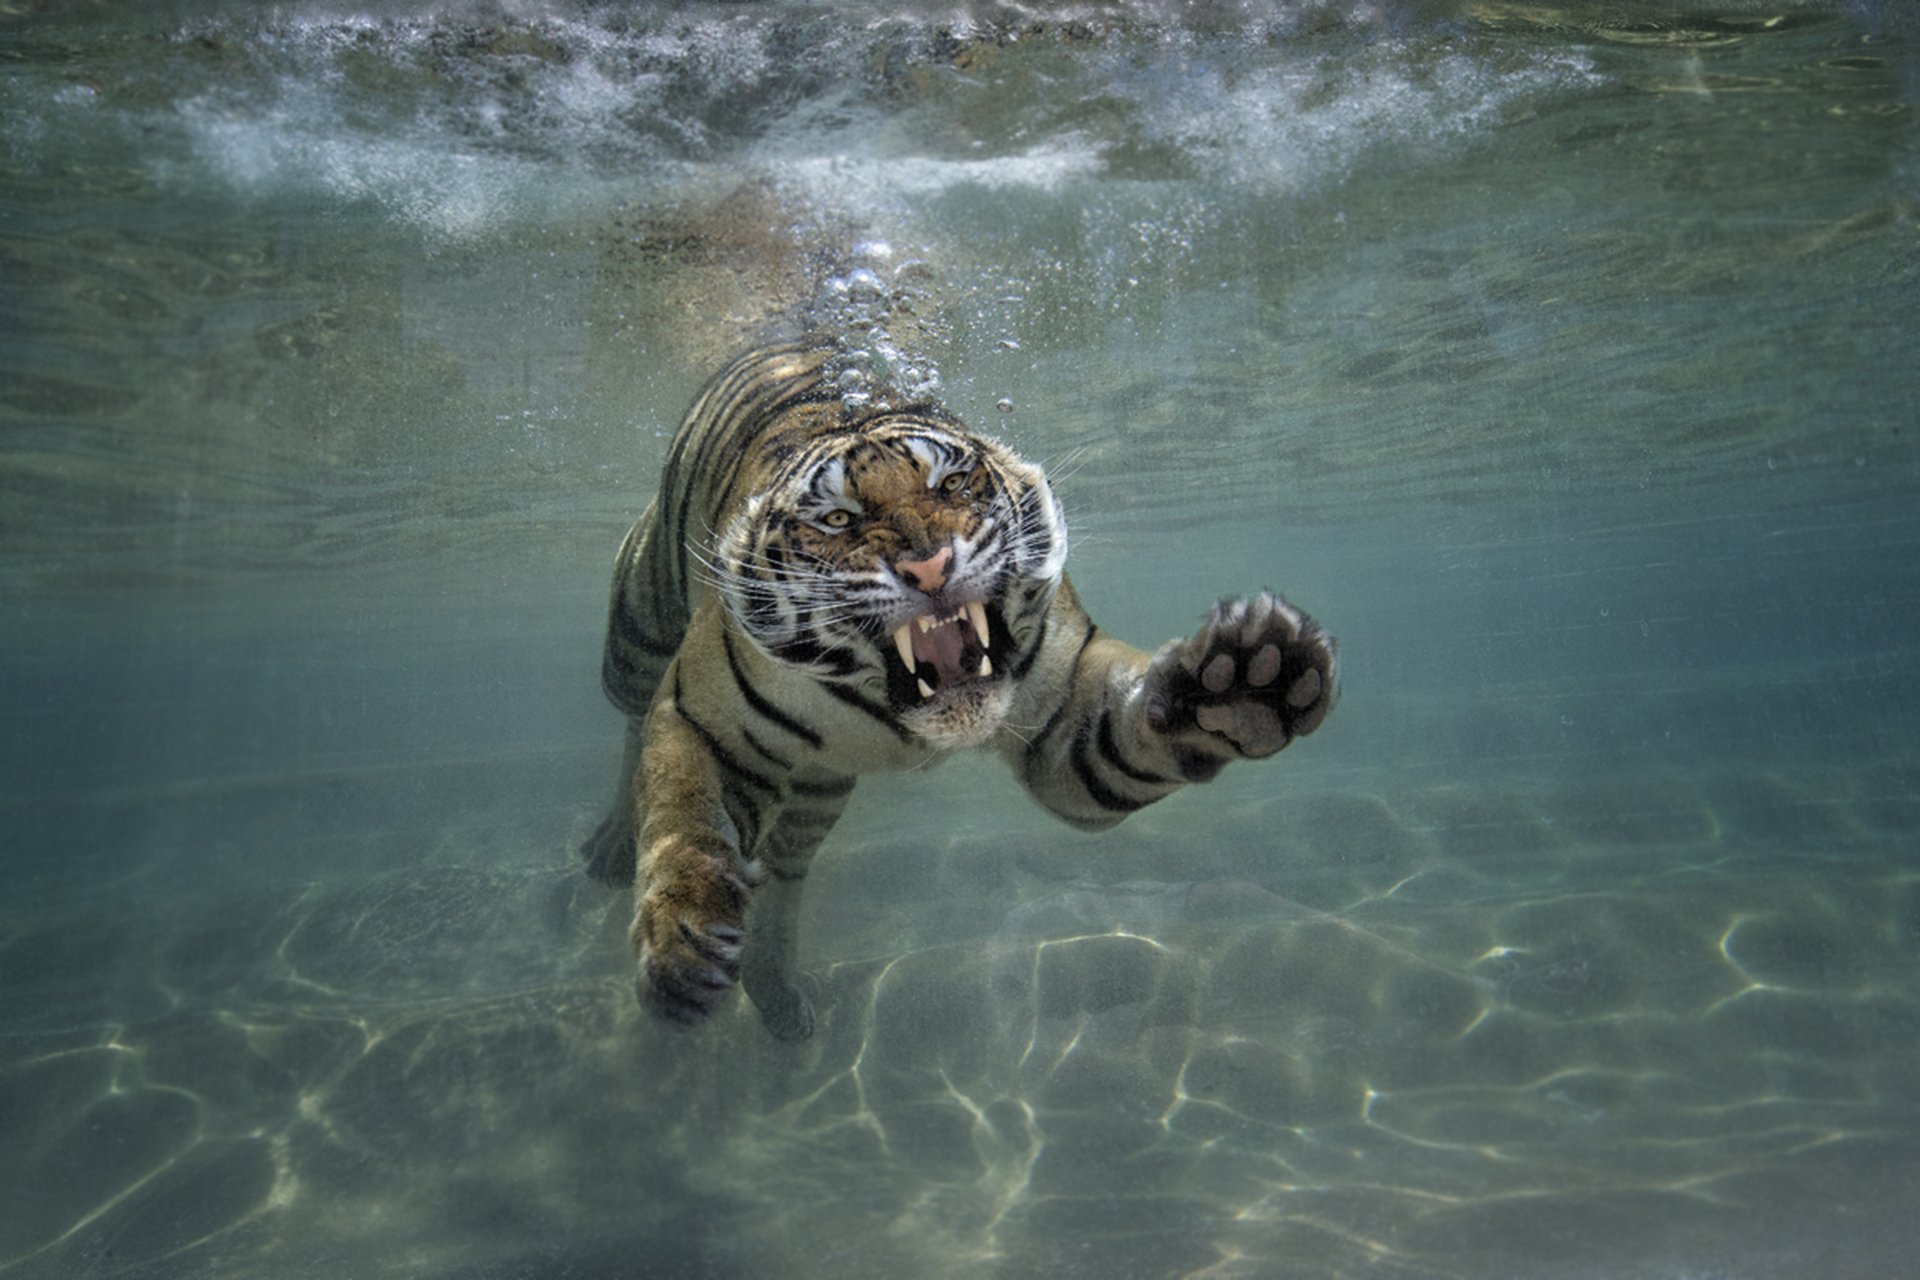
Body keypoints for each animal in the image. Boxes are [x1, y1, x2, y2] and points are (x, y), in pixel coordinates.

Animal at [581, 340, 1337, 1041]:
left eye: (951, 484)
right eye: (837, 519)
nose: (929, 565)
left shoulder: (1064, 716)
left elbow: (1130, 735)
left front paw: (1245, 683)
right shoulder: (701, 719)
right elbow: (684, 819)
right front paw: (683, 941)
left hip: (820, 788)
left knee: (787, 868)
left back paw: (780, 997)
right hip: (638, 630)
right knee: (631, 726)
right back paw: (613, 849)